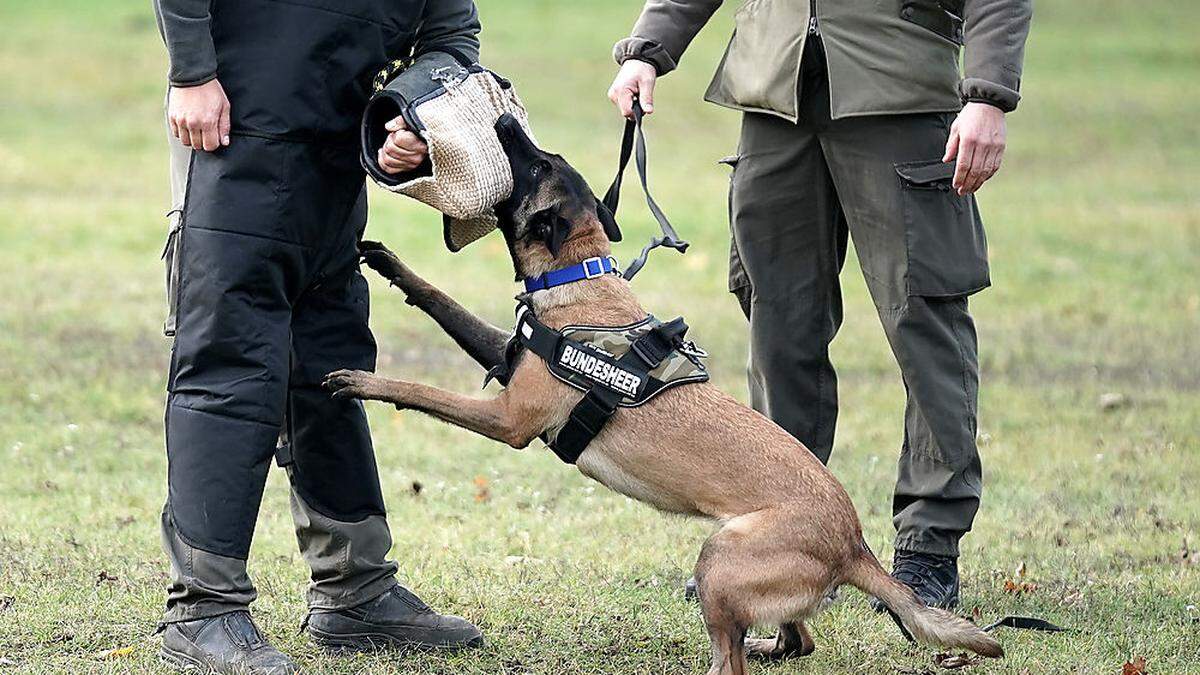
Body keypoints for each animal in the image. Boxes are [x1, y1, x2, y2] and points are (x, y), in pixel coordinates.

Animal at [321, 112, 1003, 667]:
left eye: (535, 164)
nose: (504, 121)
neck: (578, 274)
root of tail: (855, 544)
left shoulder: (509, 419)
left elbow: (419, 389)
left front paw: (359, 380)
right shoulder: (504, 354)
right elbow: (441, 301)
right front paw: (386, 261)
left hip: (719, 562)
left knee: (734, 658)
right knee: (797, 637)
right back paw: (772, 646)